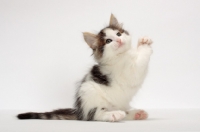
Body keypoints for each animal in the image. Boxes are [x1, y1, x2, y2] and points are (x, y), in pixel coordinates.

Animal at [17, 13, 153, 121]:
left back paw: (136, 114)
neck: (121, 56)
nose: (119, 40)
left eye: (119, 34)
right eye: (108, 41)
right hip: (88, 92)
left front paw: (144, 40)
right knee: (94, 115)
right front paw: (144, 44)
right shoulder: (131, 72)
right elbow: (142, 59)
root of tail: (79, 112)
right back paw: (113, 115)